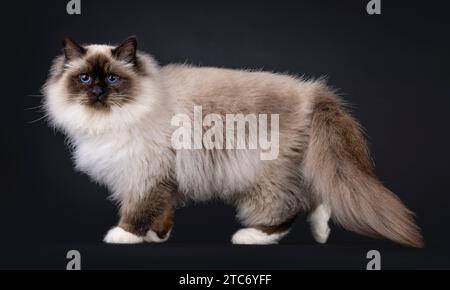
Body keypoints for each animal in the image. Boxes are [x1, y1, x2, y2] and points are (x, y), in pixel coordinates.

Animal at [41, 36, 422, 247]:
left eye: (113, 79)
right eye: (85, 78)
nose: (97, 91)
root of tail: (312, 90)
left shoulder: (146, 173)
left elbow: (138, 210)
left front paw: (125, 236)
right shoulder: (161, 176)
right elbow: (163, 211)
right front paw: (156, 237)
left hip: (260, 175)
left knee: (288, 208)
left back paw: (252, 237)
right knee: (317, 197)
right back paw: (321, 233)